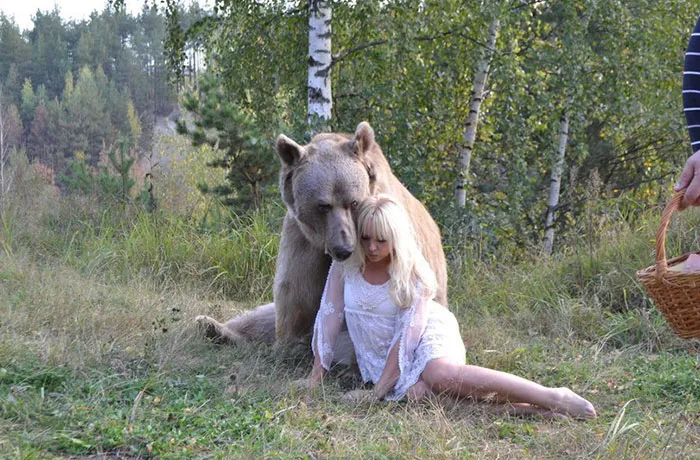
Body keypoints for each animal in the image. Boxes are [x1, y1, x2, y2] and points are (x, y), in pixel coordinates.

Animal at [196, 121, 447, 353]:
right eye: (323, 205)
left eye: (353, 202)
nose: (344, 249)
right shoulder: (302, 236)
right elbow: (295, 290)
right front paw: (291, 340)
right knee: (260, 316)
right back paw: (213, 326)